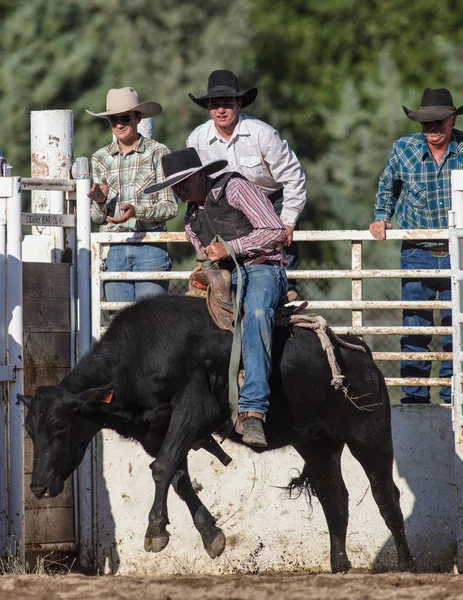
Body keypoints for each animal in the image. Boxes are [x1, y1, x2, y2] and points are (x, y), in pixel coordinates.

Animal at [20, 296, 416, 572]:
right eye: (31, 432)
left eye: (60, 428)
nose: (38, 487)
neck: (143, 353)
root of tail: (361, 357)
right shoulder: (156, 432)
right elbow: (177, 475)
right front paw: (211, 535)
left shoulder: (195, 409)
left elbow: (162, 468)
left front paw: (155, 532)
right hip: (318, 445)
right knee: (335, 499)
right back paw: (339, 565)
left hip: (370, 434)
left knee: (385, 495)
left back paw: (407, 564)